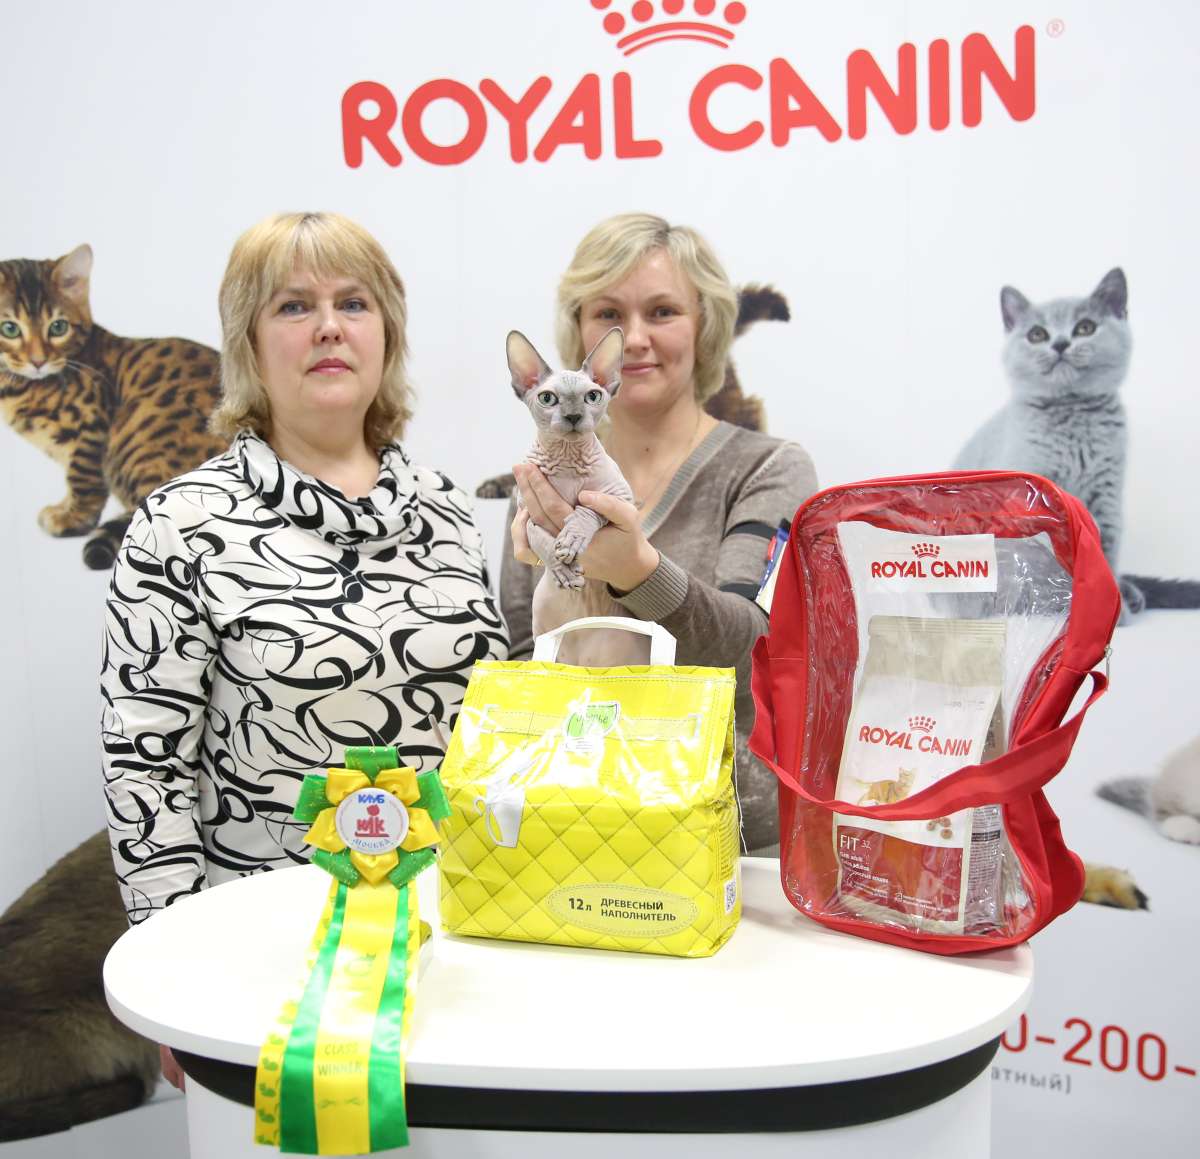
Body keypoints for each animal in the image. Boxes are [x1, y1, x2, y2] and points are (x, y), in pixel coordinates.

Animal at [0, 244, 226, 569]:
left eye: (58, 327)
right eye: (9, 329)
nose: (38, 360)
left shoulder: (91, 420)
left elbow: (82, 479)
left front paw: (72, 518)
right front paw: (64, 507)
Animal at [507, 326, 647, 667]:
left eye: (592, 396)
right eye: (547, 398)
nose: (572, 416)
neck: (568, 459)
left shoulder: (617, 497)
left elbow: (585, 509)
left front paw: (572, 538)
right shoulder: (524, 512)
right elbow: (538, 537)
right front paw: (561, 567)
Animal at [952, 268, 1200, 618]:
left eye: (1085, 328)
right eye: (1037, 335)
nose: (1059, 343)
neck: (1071, 417)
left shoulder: (1106, 496)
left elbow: (1103, 554)